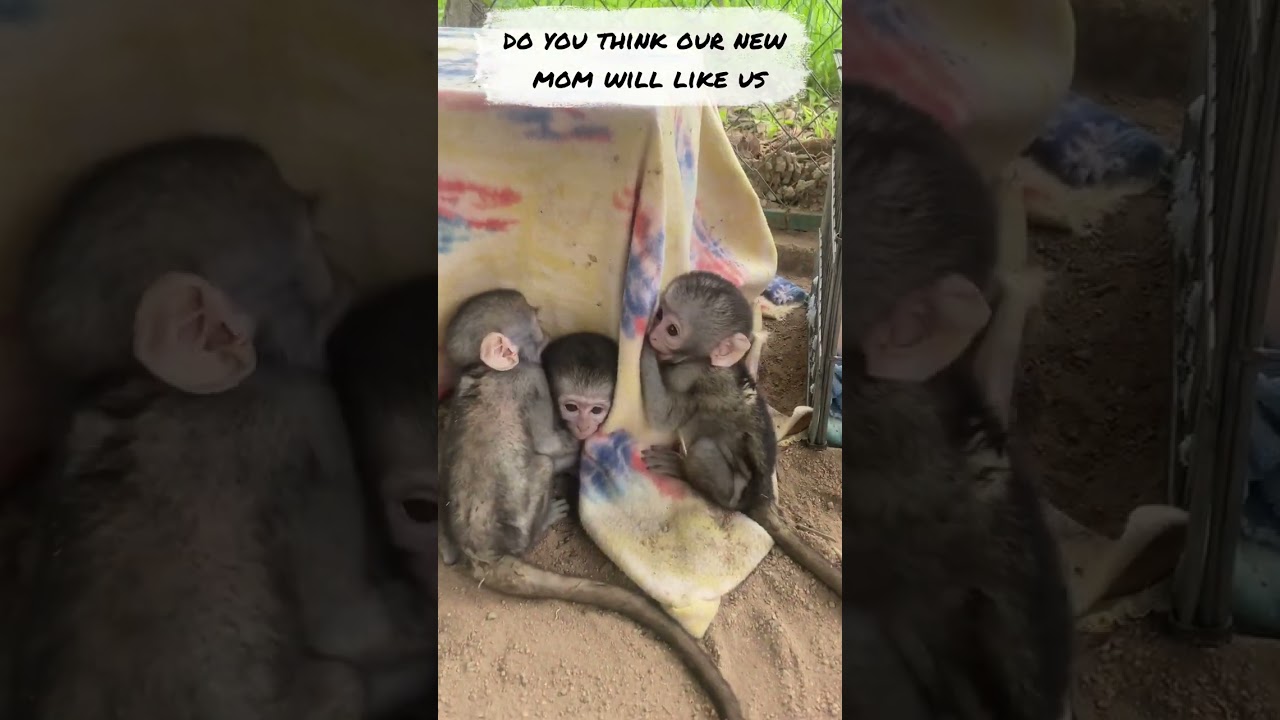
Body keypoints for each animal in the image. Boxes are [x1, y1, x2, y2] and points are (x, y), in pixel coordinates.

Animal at [8, 136, 431, 720]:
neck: (147, 384)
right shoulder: (303, 410)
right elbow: (347, 625)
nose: (348, 276)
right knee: (342, 680)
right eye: (317, 244)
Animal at [637, 271, 842, 598]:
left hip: (734, 492)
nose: (655, 334)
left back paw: (683, 470)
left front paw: (644, 347)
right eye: (659, 315)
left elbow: (663, 414)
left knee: (704, 451)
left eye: (672, 330)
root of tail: (762, 496)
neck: (707, 361)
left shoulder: (692, 374)